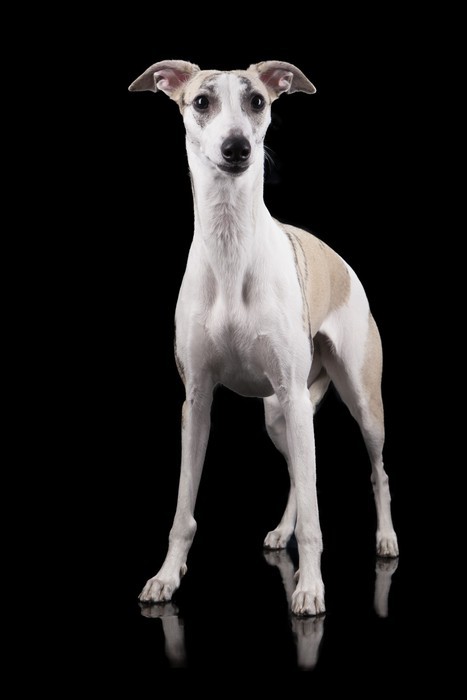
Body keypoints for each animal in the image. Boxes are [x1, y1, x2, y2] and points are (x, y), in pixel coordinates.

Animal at [129, 60, 399, 616]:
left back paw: (385, 540)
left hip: (358, 401)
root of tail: (343, 263)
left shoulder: (296, 395)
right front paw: (166, 576)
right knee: (299, 473)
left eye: (256, 100)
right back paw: (282, 531)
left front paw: (311, 587)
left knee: (376, 470)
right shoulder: (197, 401)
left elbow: (319, 515)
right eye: (201, 101)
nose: (237, 148)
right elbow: (183, 509)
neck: (231, 243)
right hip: (280, 415)